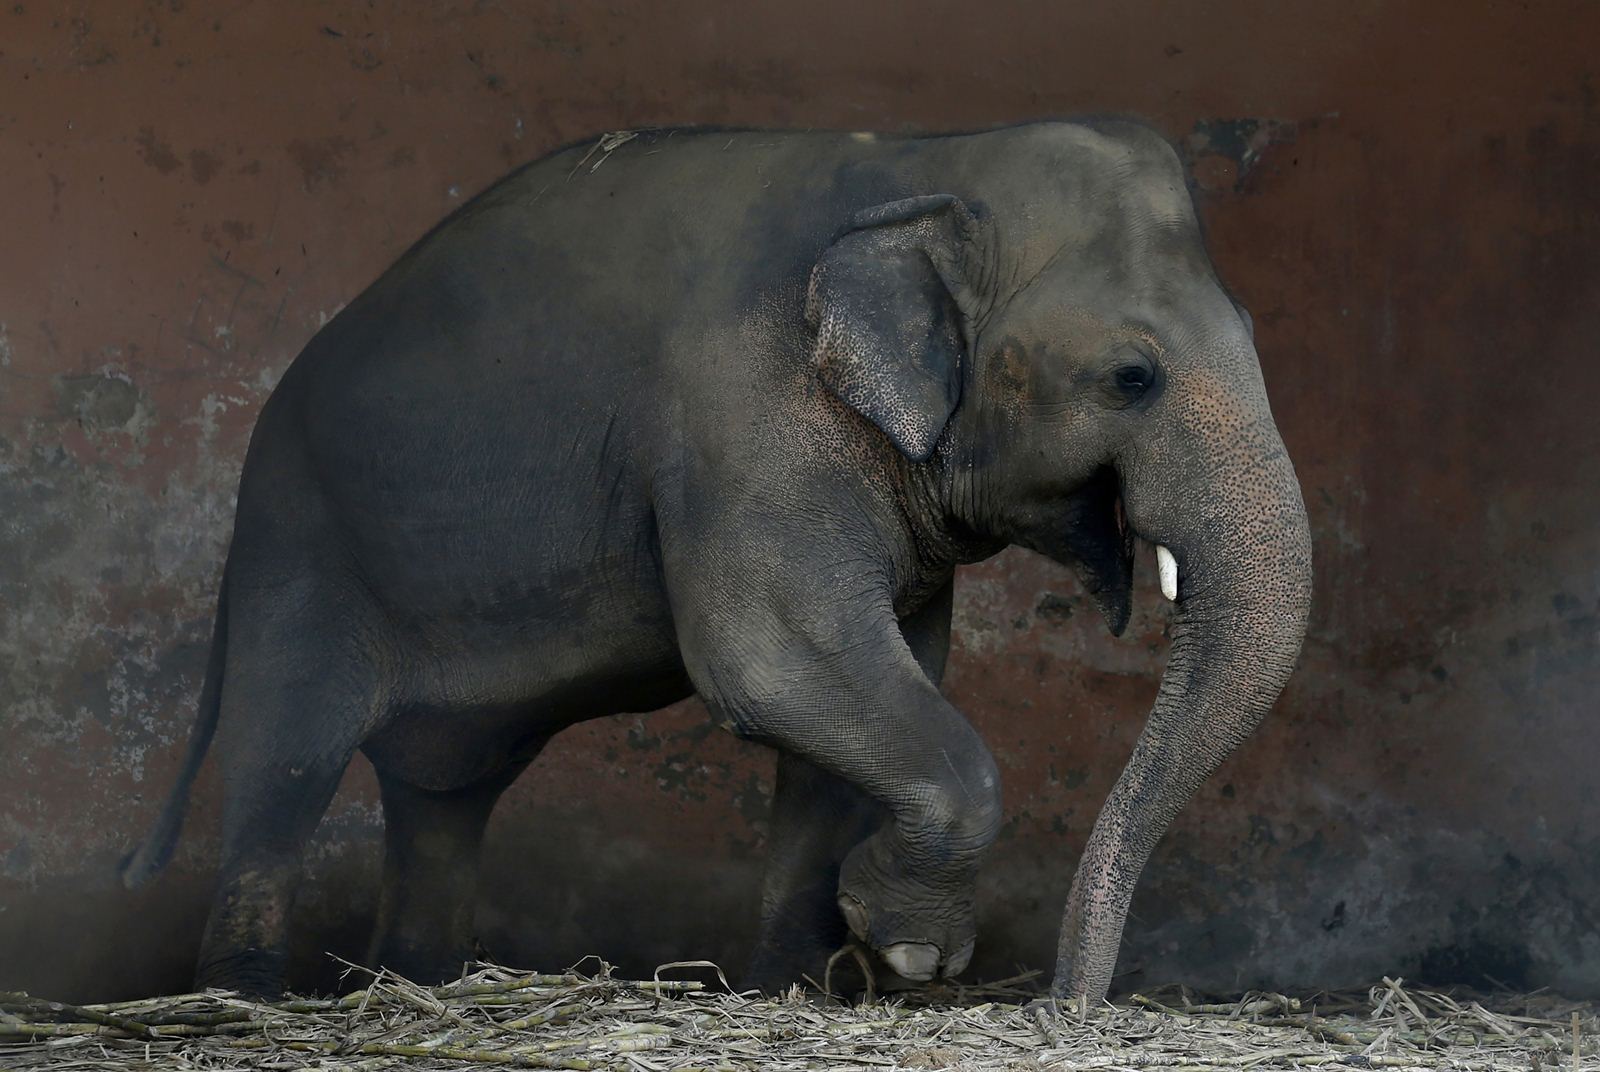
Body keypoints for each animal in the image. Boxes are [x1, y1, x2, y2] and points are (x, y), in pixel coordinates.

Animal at [122, 120, 1312, 1003]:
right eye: (1131, 377)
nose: (1063, 1007)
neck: (929, 166)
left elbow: (882, 677)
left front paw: (799, 980)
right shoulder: (742, 420)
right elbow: (776, 663)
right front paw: (908, 949)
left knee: (442, 795)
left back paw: (411, 981)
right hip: (297, 547)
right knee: (286, 766)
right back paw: (246, 996)